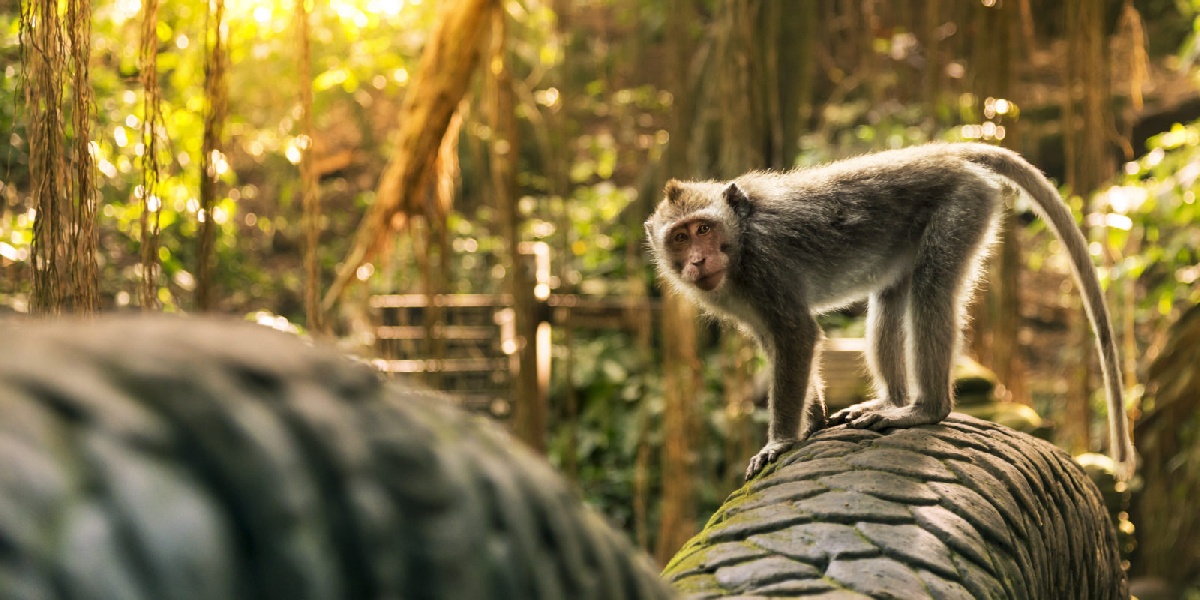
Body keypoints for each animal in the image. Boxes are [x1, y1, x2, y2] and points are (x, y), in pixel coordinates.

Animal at [645, 142, 1135, 481]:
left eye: (704, 229)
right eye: (680, 238)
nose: (698, 261)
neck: (741, 239)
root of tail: (946, 152)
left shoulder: (765, 267)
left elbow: (796, 336)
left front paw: (781, 440)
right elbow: (778, 342)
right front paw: (814, 418)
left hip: (963, 205)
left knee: (931, 291)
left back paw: (925, 409)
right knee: (888, 299)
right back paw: (892, 401)